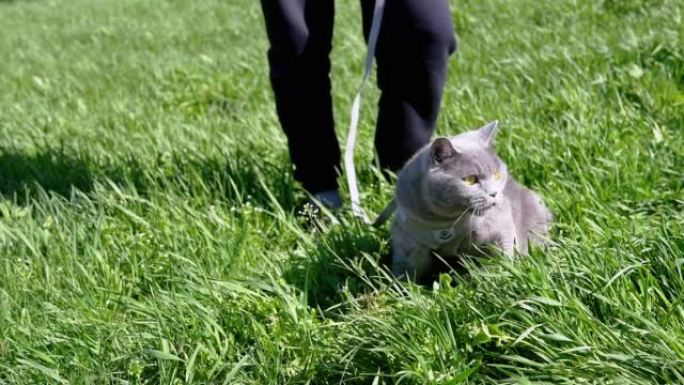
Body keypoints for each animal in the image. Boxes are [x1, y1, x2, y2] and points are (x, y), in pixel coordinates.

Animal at [390, 120, 552, 280]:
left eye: (497, 175)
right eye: (470, 180)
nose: (494, 193)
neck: (446, 223)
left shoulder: (500, 227)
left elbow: (501, 256)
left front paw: (497, 276)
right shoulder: (407, 242)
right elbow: (406, 270)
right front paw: (400, 285)